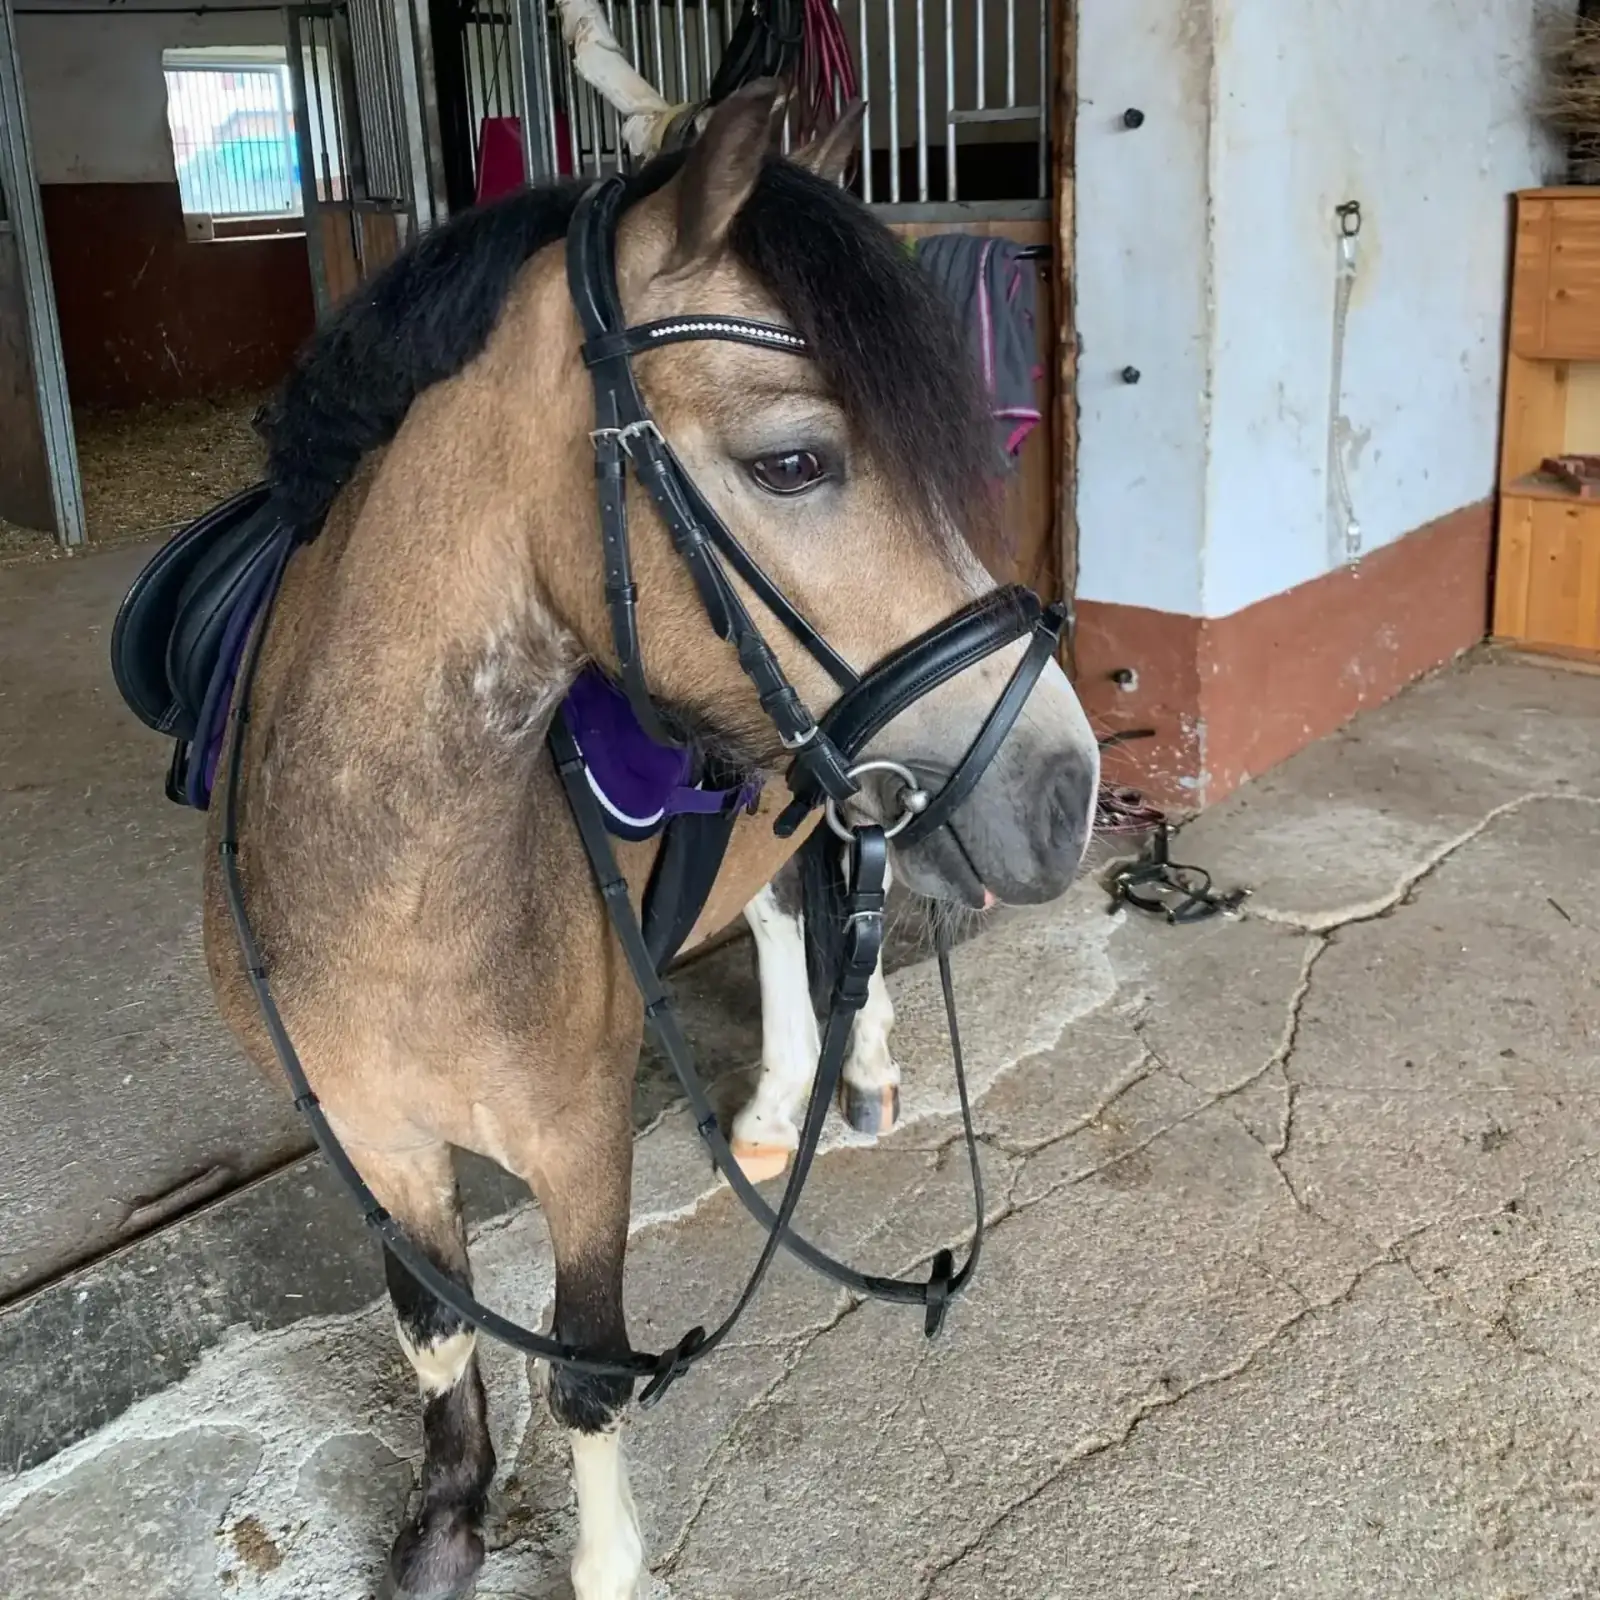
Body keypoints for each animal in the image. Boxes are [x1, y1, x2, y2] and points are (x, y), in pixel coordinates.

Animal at [200, 83, 1099, 1600]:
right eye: (793, 461)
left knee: (835, 904)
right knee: (793, 910)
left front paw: (605, 1560)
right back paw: (774, 1111)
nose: (1064, 792)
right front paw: (444, 1531)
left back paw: (859, 1077)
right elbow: (436, 1330)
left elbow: (588, 1369)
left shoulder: (579, 1146)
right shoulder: (376, 1146)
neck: (388, 891)